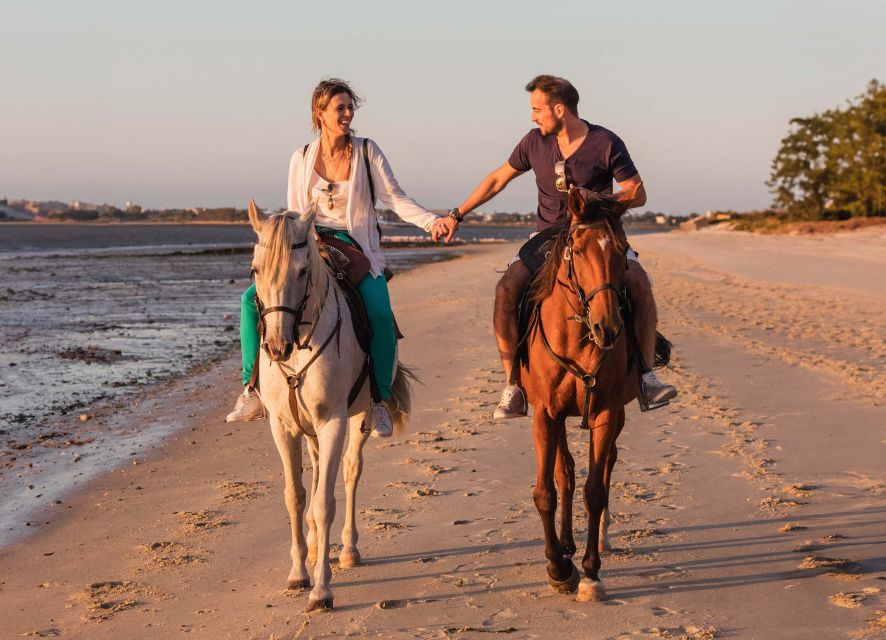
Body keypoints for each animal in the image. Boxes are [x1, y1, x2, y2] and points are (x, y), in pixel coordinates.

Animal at [248, 200, 414, 608]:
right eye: (255, 270)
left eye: (302, 270)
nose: (276, 347)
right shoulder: (283, 427)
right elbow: (295, 496)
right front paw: (298, 572)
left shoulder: (333, 422)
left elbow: (325, 502)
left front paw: (322, 588)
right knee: (319, 470)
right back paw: (310, 548)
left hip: (357, 419)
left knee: (350, 472)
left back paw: (348, 550)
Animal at [524, 185, 640, 600]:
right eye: (578, 249)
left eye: (623, 251)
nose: (609, 327)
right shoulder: (546, 413)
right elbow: (547, 489)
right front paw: (559, 567)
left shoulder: (606, 413)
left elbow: (595, 490)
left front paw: (590, 573)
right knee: (565, 472)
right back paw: (565, 545)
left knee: (605, 466)